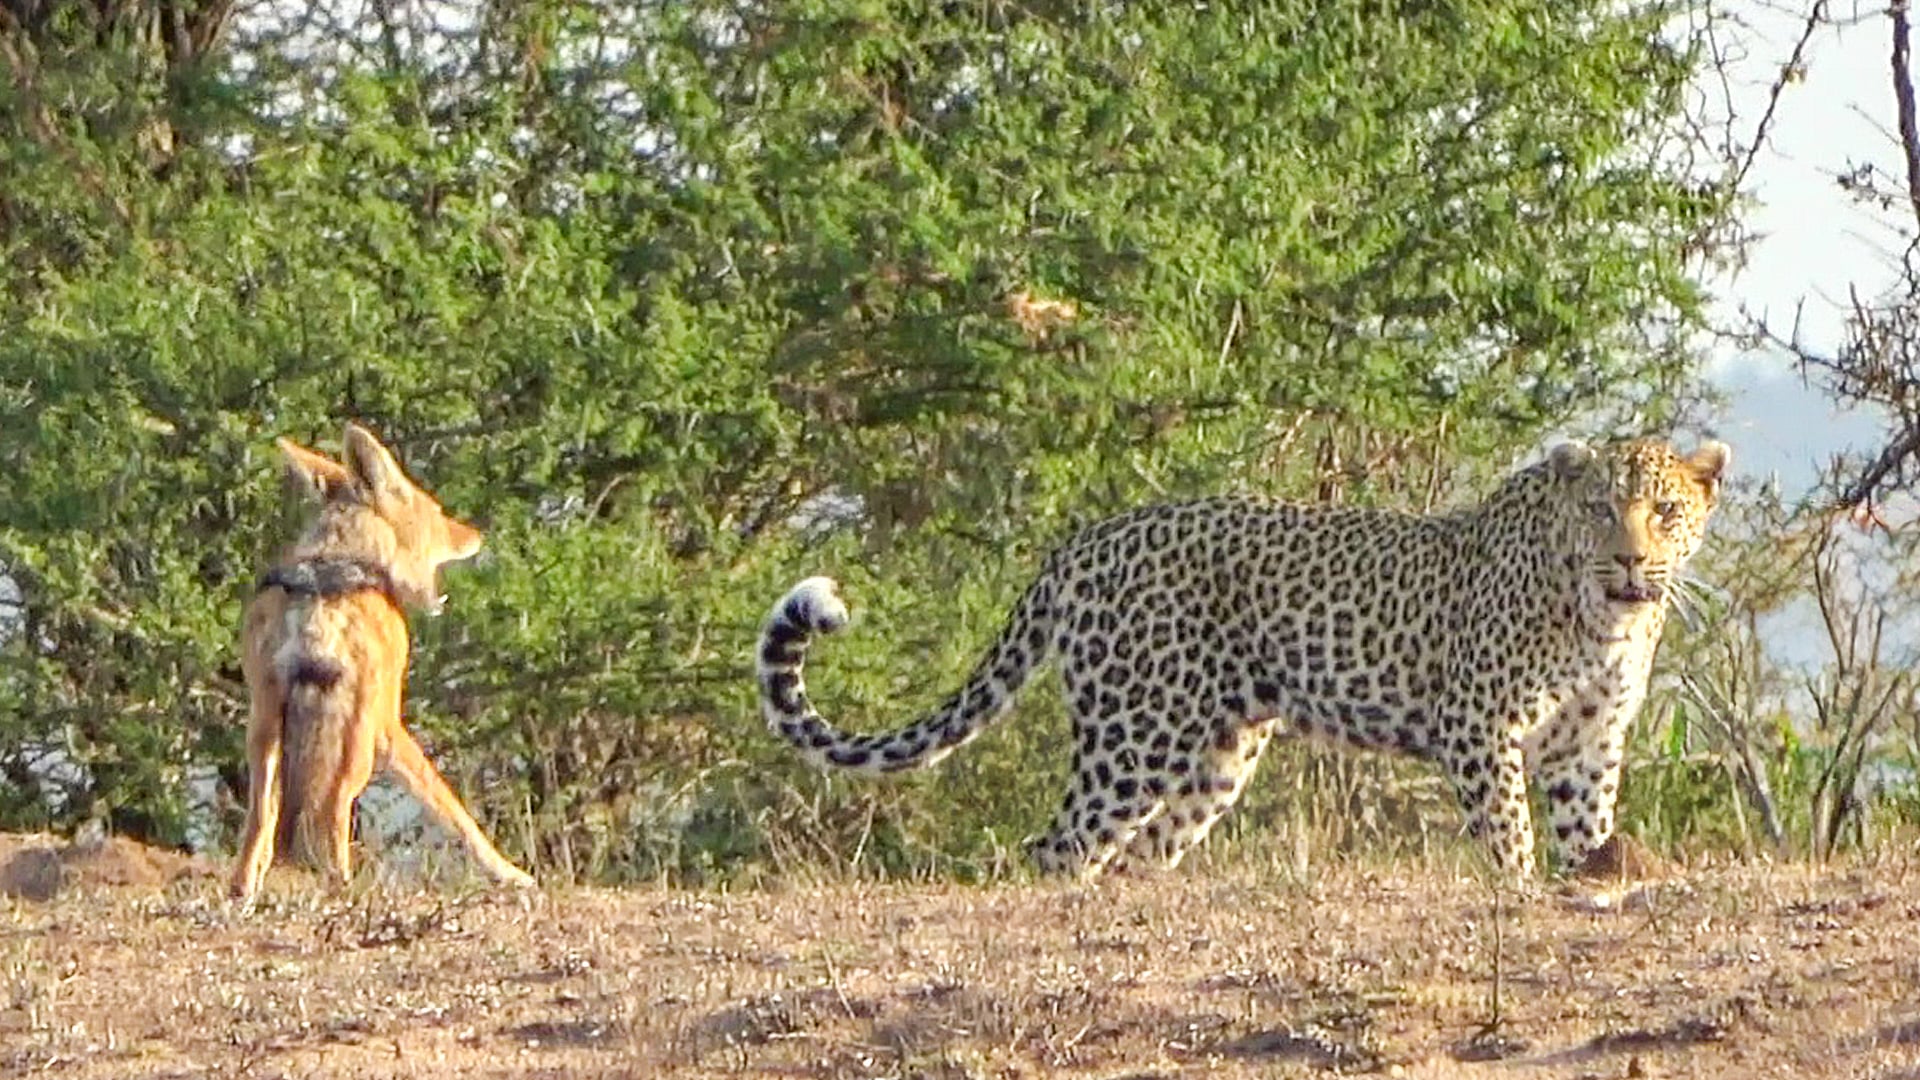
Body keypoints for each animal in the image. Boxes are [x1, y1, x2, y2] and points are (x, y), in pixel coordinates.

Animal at [756, 437, 1729, 881]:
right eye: (1601, 511)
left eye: (1665, 512)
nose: (1631, 560)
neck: (1605, 621)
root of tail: (1080, 544)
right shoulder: (1479, 728)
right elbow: (1509, 836)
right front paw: (1520, 890)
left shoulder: (1589, 745)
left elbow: (1588, 830)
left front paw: (1593, 876)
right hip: (1134, 733)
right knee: (1059, 846)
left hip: (1216, 753)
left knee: (1134, 853)